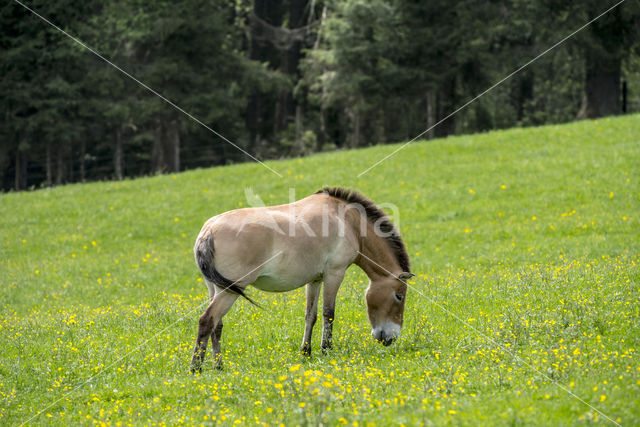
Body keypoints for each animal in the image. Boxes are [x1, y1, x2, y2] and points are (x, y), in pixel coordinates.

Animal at [189, 186, 416, 372]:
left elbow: (311, 316)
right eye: (399, 296)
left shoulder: (315, 280)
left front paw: (306, 352)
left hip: (216, 289)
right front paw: (326, 350)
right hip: (229, 291)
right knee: (207, 320)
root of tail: (208, 231)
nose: (391, 337)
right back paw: (195, 368)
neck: (347, 221)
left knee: (217, 325)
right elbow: (328, 313)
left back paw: (218, 366)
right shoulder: (335, 273)